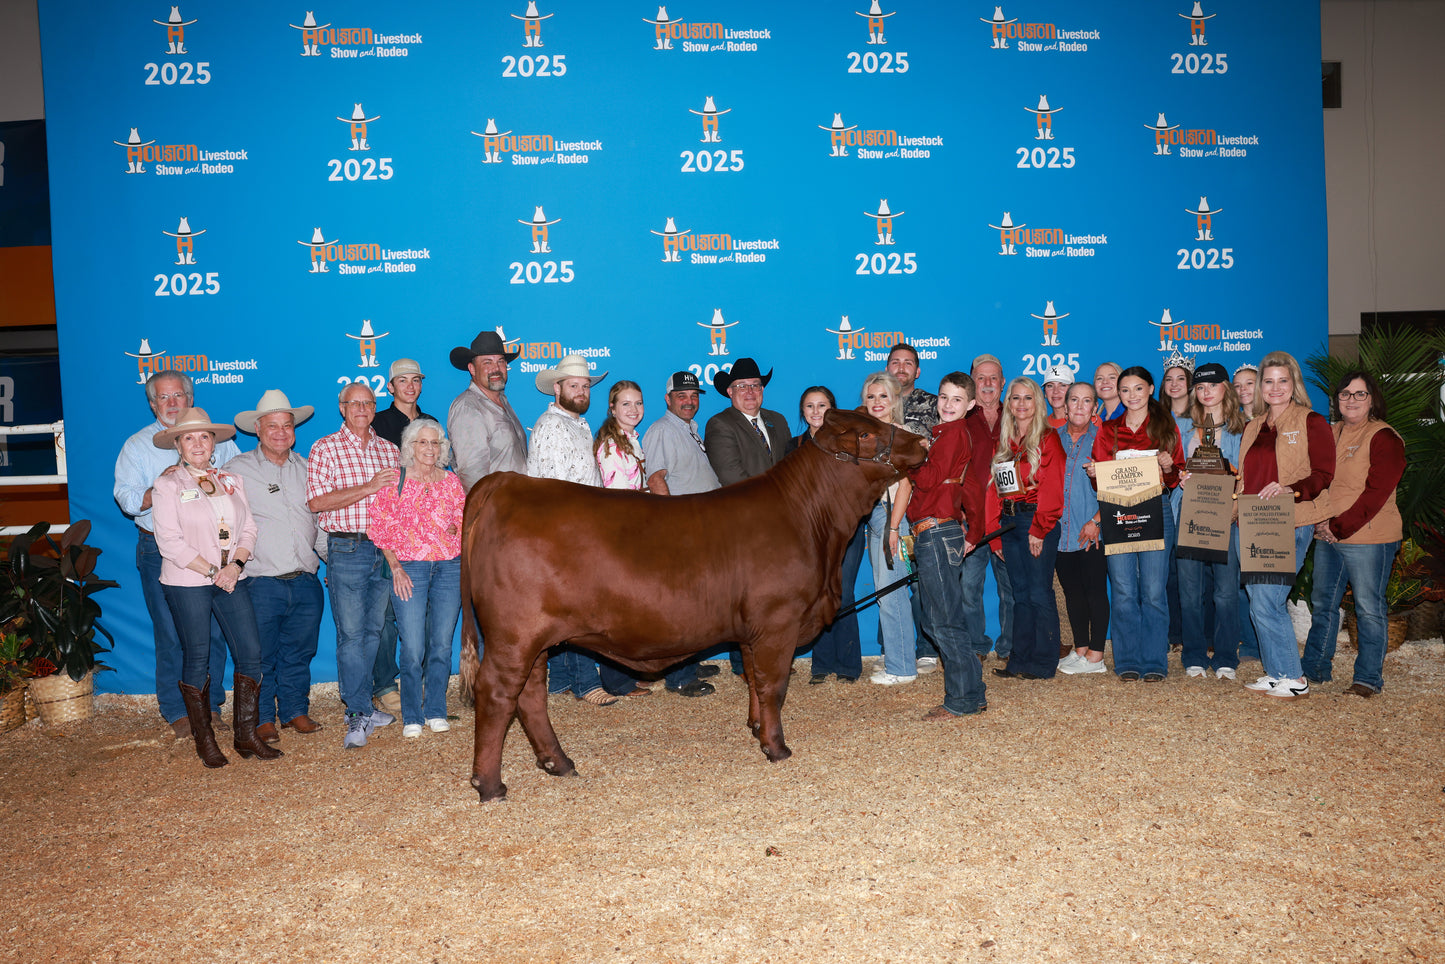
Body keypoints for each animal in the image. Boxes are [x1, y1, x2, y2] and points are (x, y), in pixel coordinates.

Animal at [458, 408, 926, 803]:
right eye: (865, 434)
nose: (921, 441)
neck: (813, 523)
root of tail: (506, 482)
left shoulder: (752, 630)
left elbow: (753, 679)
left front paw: (756, 728)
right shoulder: (778, 621)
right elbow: (774, 685)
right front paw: (776, 747)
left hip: (533, 640)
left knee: (530, 695)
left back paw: (558, 762)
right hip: (514, 634)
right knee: (497, 692)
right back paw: (490, 785)